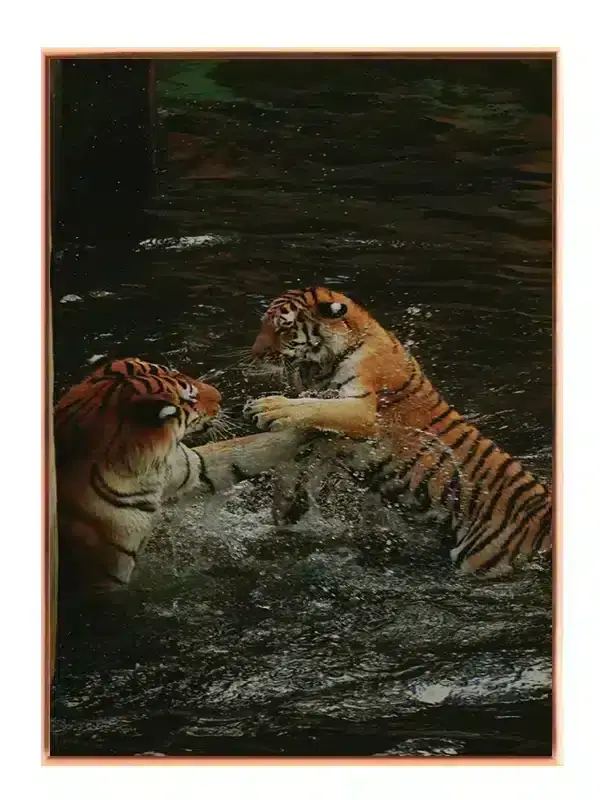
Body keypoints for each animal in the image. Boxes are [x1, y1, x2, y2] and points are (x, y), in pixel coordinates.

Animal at [243, 286, 552, 577]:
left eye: (283, 327)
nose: (255, 353)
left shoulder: (363, 410)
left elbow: (314, 406)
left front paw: (267, 407)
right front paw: (286, 509)